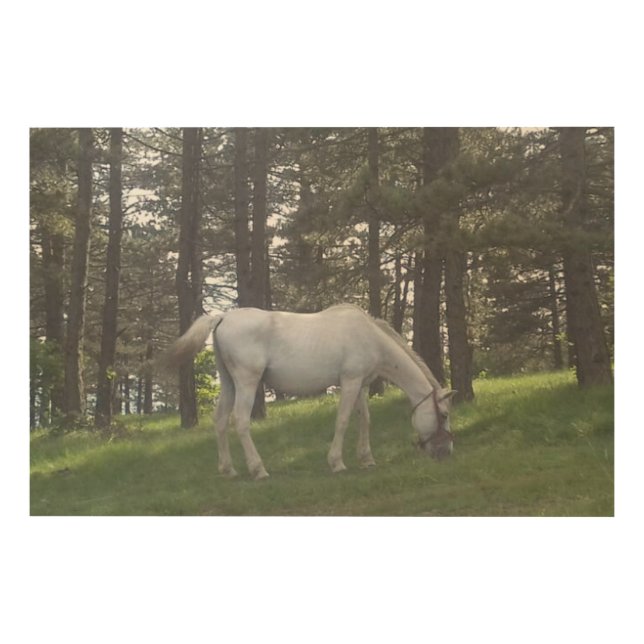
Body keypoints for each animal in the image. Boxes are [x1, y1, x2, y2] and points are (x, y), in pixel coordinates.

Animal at [164, 304, 455, 479]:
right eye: (444, 415)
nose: (446, 452)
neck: (370, 337)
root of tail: (222, 317)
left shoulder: (360, 384)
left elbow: (364, 420)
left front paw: (367, 459)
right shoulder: (349, 382)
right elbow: (343, 421)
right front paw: (337, 462)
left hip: (229, 383)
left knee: (221, 420)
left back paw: (228, 470)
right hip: (246, 382)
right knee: (241, 421)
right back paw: (259, 469)